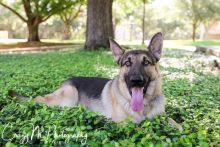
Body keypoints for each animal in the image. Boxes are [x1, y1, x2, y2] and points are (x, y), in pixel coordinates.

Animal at [9, 32, 165, 123]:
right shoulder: (123, 124)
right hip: (68, 97)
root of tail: (66, 81)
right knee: (38, 100)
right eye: (127, 63)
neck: (144, 106)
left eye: (146, 62)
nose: (136, 80)